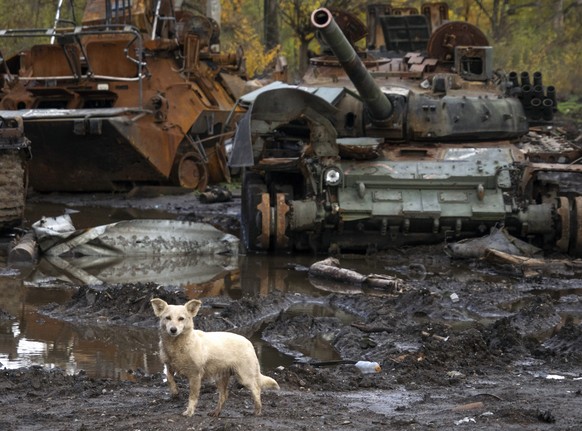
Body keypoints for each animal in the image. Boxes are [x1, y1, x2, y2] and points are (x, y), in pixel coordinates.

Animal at [152, 298, 282, 416]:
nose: (173, 330)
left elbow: (193, 396)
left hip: (244, 376)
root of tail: (248, 342)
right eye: (167, 318)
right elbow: (169, 378)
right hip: (221, 377)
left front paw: (189, 412)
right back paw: (216, 412)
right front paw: (175, 392)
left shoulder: (195, 375)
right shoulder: (169, 365)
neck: (178, 346)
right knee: (224, 396)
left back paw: (257, 411)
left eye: (181, 318)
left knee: (256, 389)